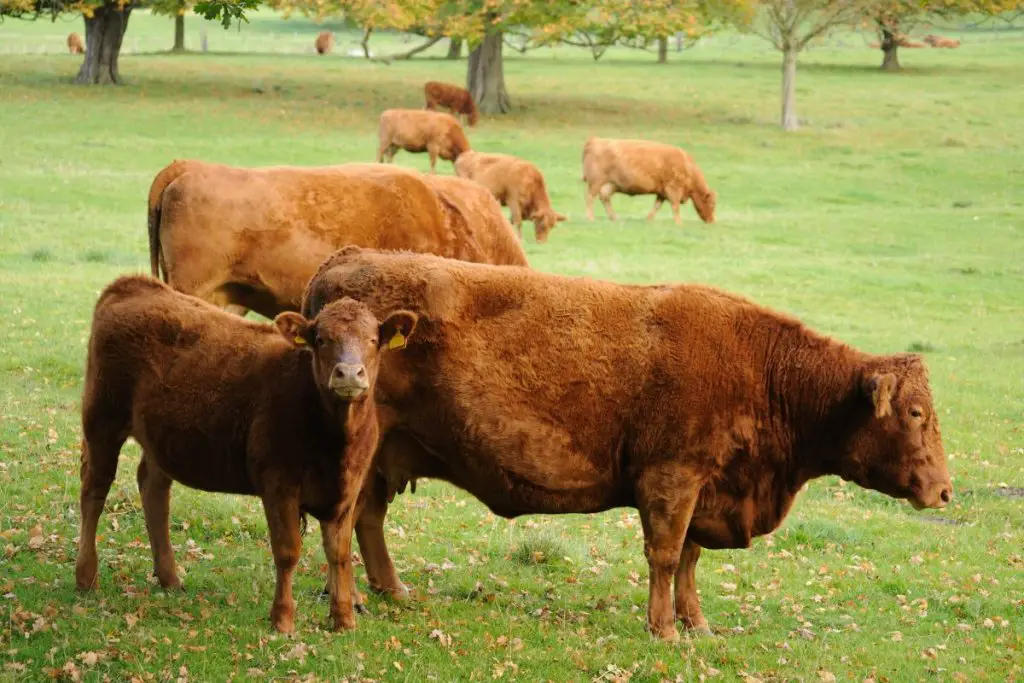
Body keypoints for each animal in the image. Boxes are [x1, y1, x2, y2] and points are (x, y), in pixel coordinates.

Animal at [74, 274, 419, 634]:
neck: (336, 440)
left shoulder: (347, 490)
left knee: (153, 488)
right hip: (102, 421)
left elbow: (339, 552)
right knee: (94, 490)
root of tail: (132, 284)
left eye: (372, 340)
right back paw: (86, 577)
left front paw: (343, 619)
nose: (349, 373)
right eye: (322, 339)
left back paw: (169, 577)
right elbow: (288, 551)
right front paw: (282, 618)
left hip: (159, 438)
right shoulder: (278, 483)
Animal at [301, 249, 950, 643]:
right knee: (346, 520)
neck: (762, 369)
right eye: (916, 413)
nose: (944, 491)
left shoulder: (704, 489)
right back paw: (352, 604)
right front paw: (664, 629)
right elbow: (664, 555)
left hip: (384, 455)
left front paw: (696, 623)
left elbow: (689, 558)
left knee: (367, 518)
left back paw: (392, 591)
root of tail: (345, 259)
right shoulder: (672, 480)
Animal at [581, 137, 716, 225]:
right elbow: (675, 206)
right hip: (595, 182)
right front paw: (678, 222)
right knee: (590, 198)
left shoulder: (662, 192)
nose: (712, 221)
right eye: (712, 204)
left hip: (609, 185)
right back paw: (590, 217)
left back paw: (614, 217)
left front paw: (649, 219)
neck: (688, 166)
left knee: (605, 199)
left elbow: (657, 206)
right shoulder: (673, 189)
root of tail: (594, 140)